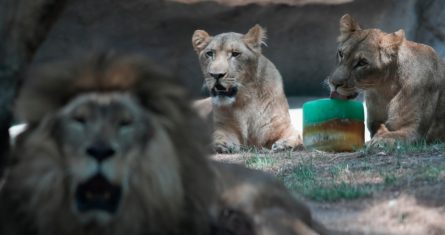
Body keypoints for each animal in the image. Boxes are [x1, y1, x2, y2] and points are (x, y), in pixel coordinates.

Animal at [326, 13, 444, 147]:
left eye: (362, 63)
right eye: (341, 54)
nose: (334, 83)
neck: (385, 88)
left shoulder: (414, 130)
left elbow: (393, 135)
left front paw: (379, 140)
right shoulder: (374, 120)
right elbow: (379, 127)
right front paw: (377, 137)